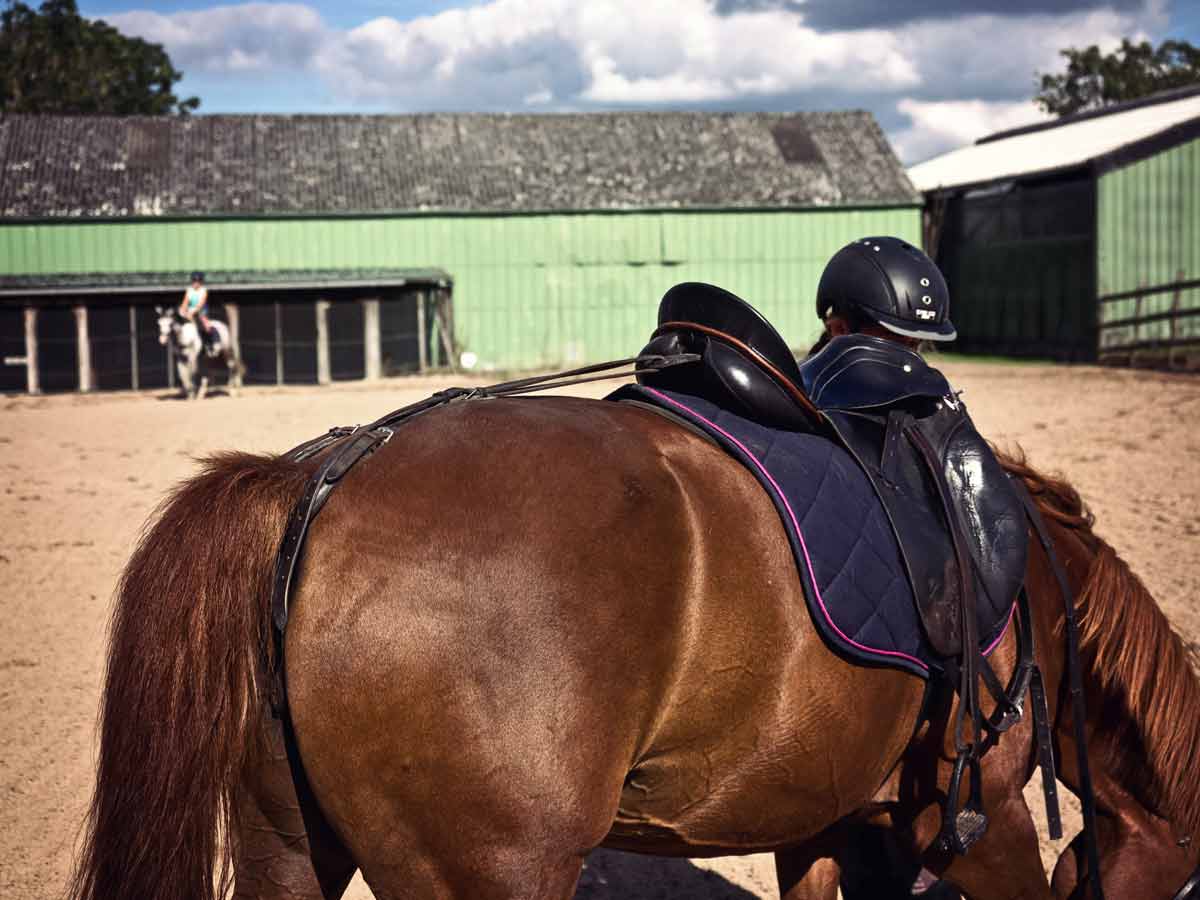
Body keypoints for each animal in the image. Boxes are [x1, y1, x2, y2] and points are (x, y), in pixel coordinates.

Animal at [70, 396, 1195, 900]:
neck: (1030, 579)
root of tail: (322, 474)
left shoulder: (827, 816)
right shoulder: (983, 818)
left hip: (289, 842)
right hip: (491, 873)